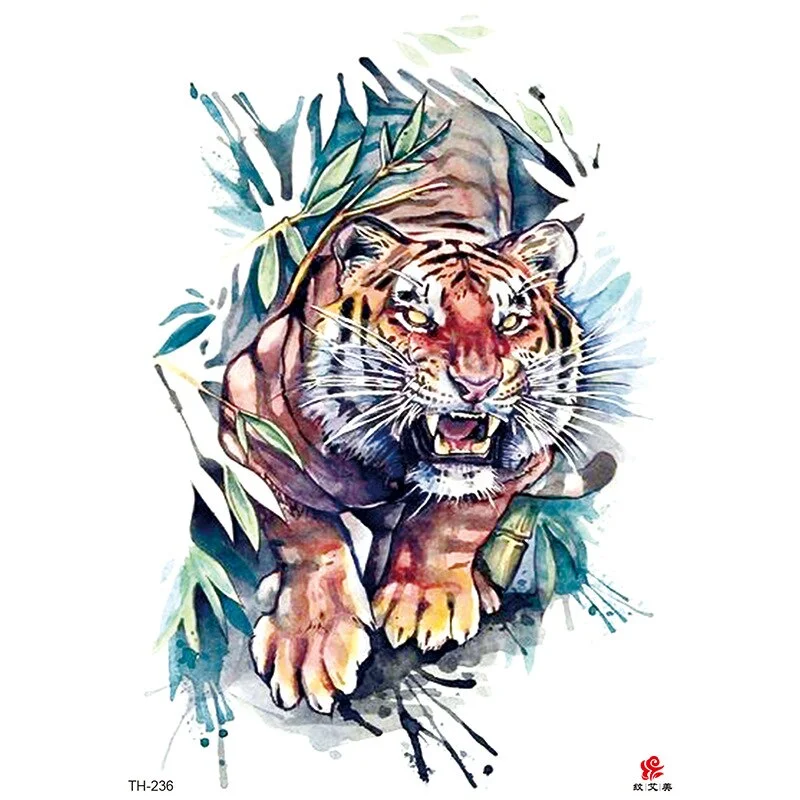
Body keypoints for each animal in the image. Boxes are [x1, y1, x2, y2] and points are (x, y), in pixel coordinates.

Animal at [218, 102, 584, 714]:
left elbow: (458, 515)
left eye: (511, 320)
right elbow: (305, 530)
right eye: (417, 316)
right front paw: (313, 640)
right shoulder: (247, 417)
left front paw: (424, 600)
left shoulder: (530, 450)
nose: (478, 383)